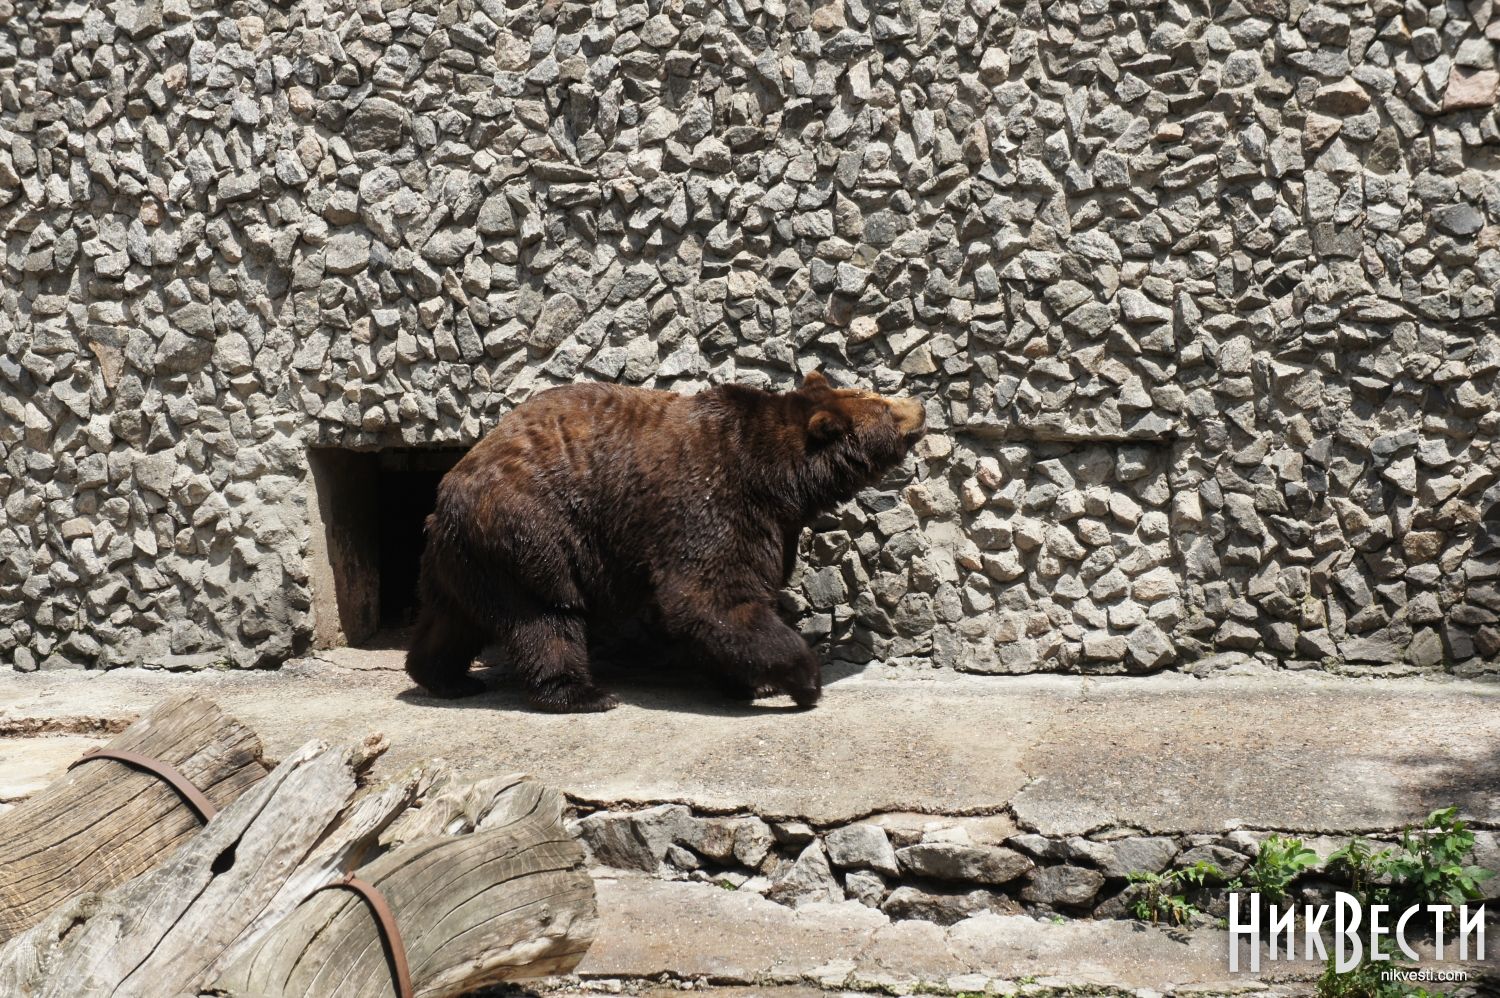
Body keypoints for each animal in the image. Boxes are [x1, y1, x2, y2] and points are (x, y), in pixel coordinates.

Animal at [403, 371, 926, 712]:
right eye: (883, 404)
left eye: (877, 392)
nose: (920, 405)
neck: (779, 479)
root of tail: (445, 494)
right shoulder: (712, 498)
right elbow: (709, 598)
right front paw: (801, 680)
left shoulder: (775, 522)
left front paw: (745, 682)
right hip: (529, 533)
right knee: (545, 618)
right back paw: (585, 694)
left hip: (466, 560)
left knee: (452, 618)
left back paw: (443, 679)